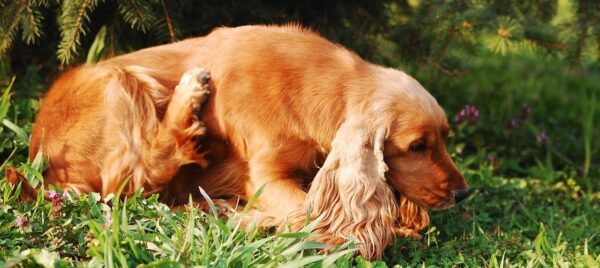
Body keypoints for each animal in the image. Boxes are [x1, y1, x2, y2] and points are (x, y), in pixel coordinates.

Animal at [27, 25, 468, 260]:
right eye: (417, 146)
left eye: (444, 138)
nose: (463, 193)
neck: (319, 88)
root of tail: (40, 160)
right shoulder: (264, 176)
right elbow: (307, 215)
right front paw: (245, 217)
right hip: (120, 80)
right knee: (137, 176)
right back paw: (190, 94)